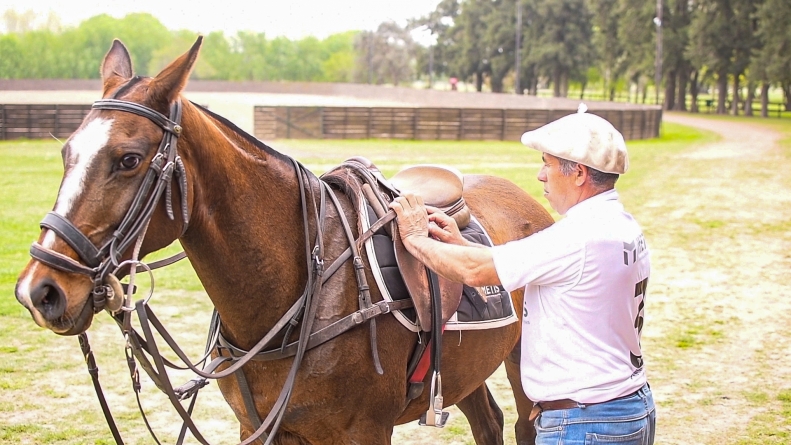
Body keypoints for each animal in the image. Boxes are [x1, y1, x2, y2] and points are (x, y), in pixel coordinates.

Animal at [13, 36, 556, 442]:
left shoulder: (364, 432)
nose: (40, 291)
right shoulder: (258, 428)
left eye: (128, 159)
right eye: (65, 151)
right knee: (488, 421)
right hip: (465, 366)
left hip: (525, 363)